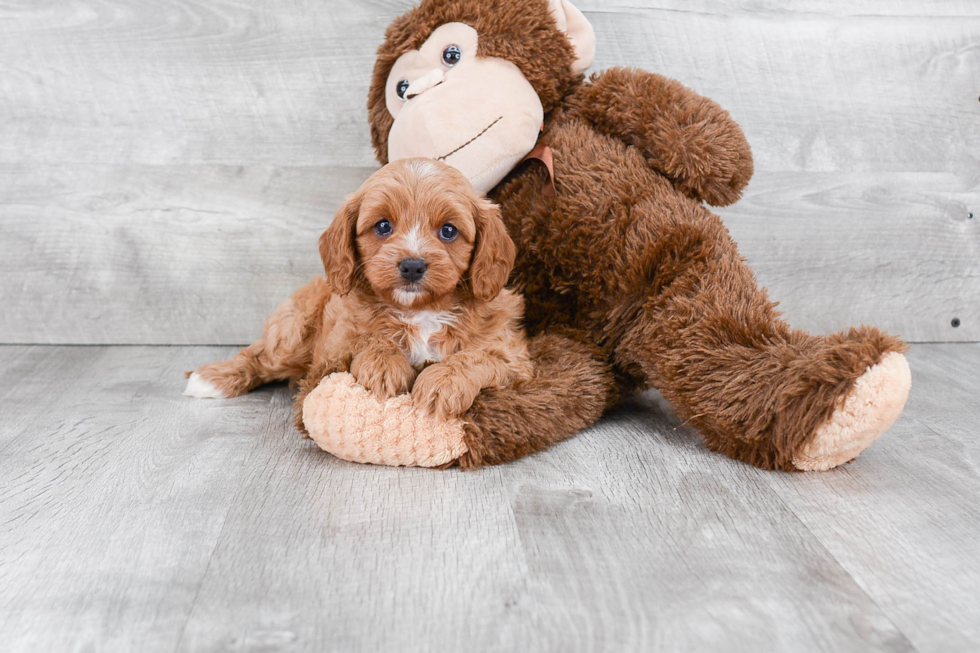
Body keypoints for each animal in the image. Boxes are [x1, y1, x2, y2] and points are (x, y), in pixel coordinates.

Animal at [187, 157, 532, 422]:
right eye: (383, 226)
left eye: (448, 231)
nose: (412, 266)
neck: (419, 311)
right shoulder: (335, 344)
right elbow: (368, 339)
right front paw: (384, 364)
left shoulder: (514, 359)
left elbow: (477, 358)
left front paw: (443, 383)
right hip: (294, 328)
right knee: (259, 354)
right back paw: (210, 380)